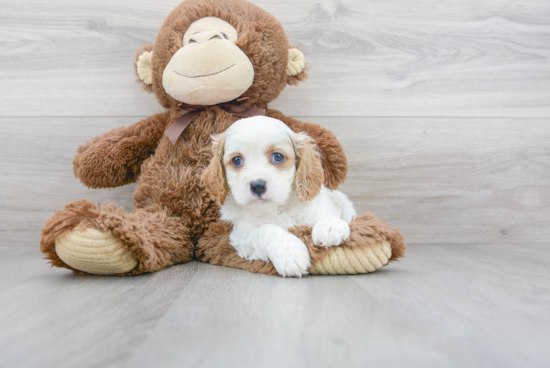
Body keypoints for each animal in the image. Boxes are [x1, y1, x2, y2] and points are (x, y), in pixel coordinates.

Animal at [203, 116, 358, 278]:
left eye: (277, 156)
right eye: (236, 160)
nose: (257, 185)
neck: (275, 208)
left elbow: (327, 212)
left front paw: (330, 226)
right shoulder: (242, 235)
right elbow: (266, 229)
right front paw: (290, 254)